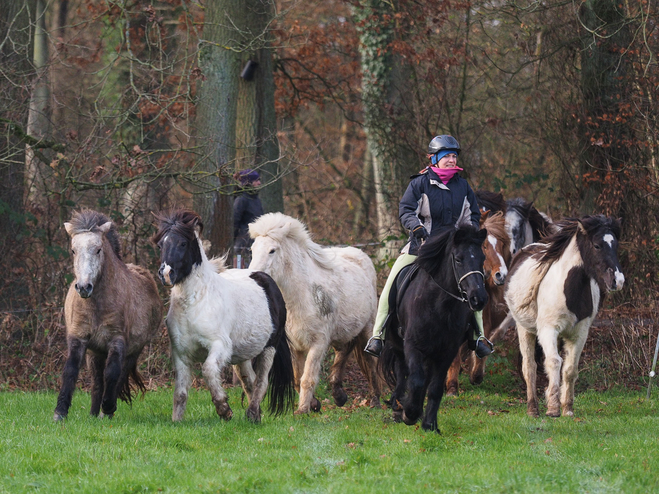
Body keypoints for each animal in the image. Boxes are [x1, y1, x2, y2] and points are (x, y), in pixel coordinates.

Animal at [54, 209, 164, 420]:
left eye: (98, 250)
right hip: (95, 353)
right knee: (97, 381)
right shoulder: (78, 338)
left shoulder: (117, 340)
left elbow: (112, 374)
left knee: (118, 377)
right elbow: (70, 370)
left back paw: (106, 412)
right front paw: (60, 412)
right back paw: (93, 413)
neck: (96, 306)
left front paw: (108, 408)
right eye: (73, 250)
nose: (84, 287)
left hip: (132, 351)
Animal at [153, 208, 296, 420]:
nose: (166, 274)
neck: (195, 303)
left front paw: (224, 409)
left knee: (261, 382)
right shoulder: (180, 353)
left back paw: (252, 413)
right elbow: (180, 393)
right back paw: (255, 415)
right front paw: (176, 421)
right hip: (242, 354)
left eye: (183, 243)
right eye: (161, 244)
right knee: (249, 381)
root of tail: (265, 278)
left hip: (269, 348)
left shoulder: (219, 345)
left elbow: (208, 370)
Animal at [382, 210, 490, 430]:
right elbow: (415, 381)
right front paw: (409, 413)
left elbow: (434, 387)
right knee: (402, 372)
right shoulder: (413, 345)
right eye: (458, 259)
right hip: (398, 345)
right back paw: (399, 407)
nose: (478, 299)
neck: (440, 305)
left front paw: (429, 424)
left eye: (481, 258)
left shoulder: (446, 351)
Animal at [446, 210, 512, 396]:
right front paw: (452, 387)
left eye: (501, 245)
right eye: (484, 246)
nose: (501, 275)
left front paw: (475, 375)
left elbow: (482, 345)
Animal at [506, 216, 624, 416]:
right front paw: (553, 408)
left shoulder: (579, 334)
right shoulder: (548, 330)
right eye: (597, 245)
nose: (618, 281)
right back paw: (533, 409)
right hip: (524, 329)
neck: (569, 291)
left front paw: (567, 409)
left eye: (615, 245)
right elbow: (554, 362)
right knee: (529, 367)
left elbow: (570, 369)